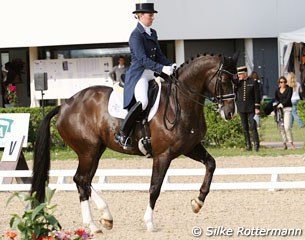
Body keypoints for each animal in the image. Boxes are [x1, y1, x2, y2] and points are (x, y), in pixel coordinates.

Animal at [32, 53, 239, 234]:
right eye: (224, 81)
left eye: (237, 81)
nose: (230, 113)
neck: (179, 103)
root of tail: (64, 105)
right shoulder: (163, 154)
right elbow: (155, 188)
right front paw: (149, 223)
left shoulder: (190, 147)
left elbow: (211, 164)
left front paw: (198, 202)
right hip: (87, 151)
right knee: (81, 180)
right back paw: (93, 224)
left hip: (96, 151)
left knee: (84, 181)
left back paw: (104, 219)